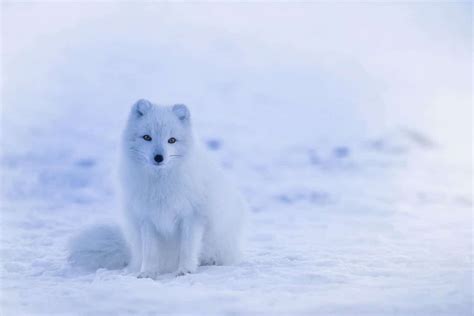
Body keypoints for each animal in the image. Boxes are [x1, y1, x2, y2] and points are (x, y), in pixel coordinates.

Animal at [71, 100, 248, 278]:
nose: (158, 157)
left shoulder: (192, 216)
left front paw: (185, 270)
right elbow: (150, 252)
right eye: (147, 137)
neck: (160, 183)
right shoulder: (147, 218)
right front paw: (147, 273)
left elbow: (187, 248)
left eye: (172, 140)